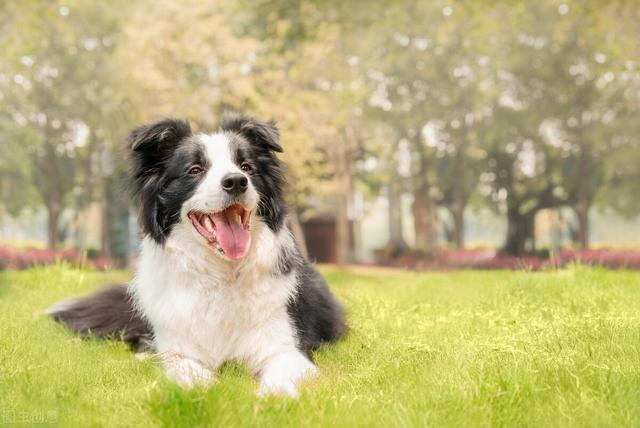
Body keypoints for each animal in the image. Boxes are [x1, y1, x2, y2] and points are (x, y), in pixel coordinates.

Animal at [47, 115, 348, 396]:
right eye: (195, 170)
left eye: (246, 167)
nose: (237, 182)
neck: (220, 273)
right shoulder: (179, 348)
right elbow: (185, 369)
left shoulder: (284, 347)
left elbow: (280, 373)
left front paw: (274, 398)